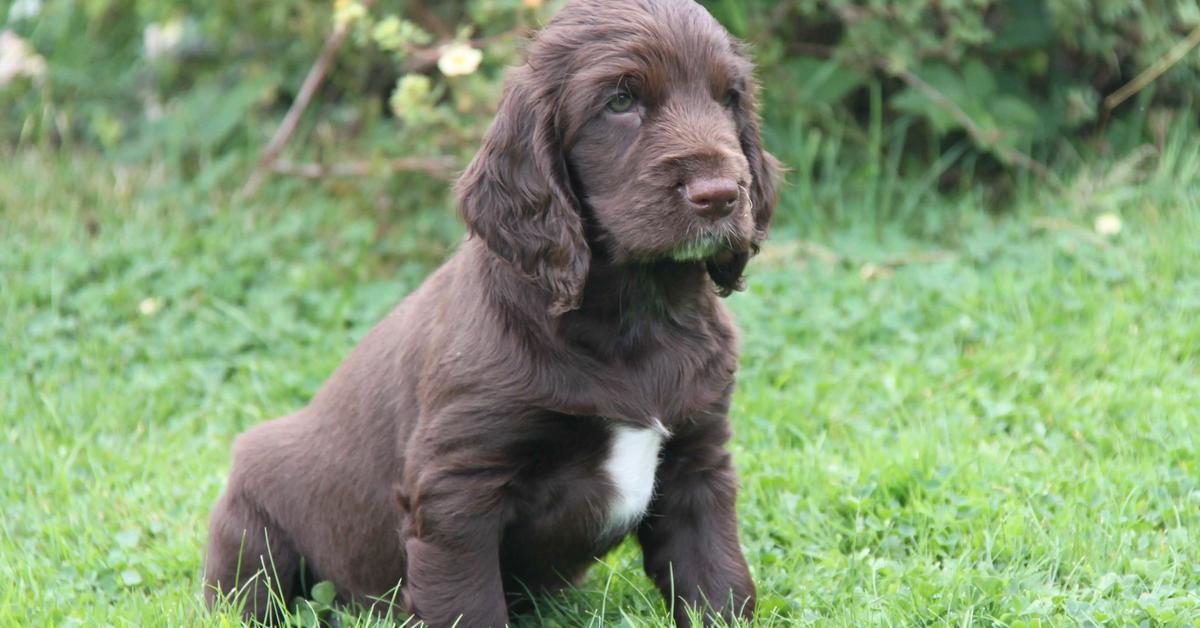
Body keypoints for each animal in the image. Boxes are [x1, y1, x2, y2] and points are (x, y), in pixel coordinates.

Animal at [205, 2, 777, 624]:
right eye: (620, 101)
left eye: (728, 97)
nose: (721, 194)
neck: (636, 314)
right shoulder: (458, 489)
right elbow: (469, 601)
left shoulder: (698, 461)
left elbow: (719, 585)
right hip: (250, 523)